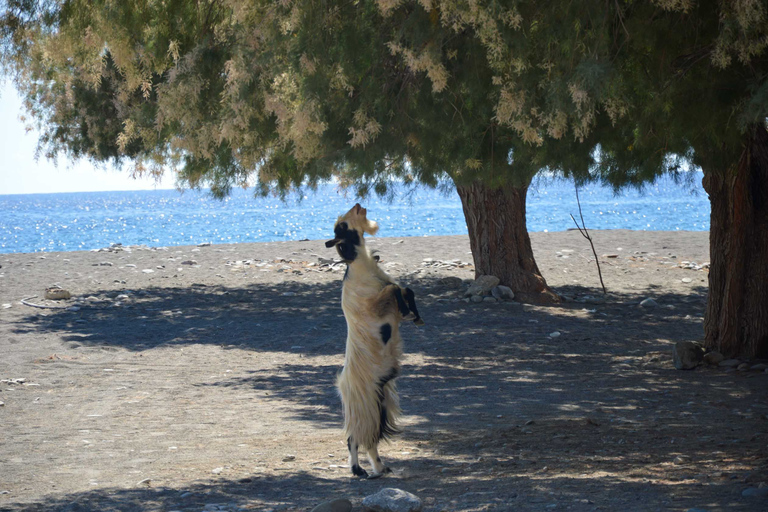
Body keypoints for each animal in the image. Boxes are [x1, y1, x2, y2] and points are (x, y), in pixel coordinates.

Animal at [322, 204, 424, 480]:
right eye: (341, 226)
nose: (358, 205)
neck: (363, 270)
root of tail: (343, 385)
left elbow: (405, 288)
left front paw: (415, 315)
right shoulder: (375, 307)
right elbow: (394, 289)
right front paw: (410, 312)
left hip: (379, 404)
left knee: (370, 440)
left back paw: (380, 468)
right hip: (364, 406)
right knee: (354, 438)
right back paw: (359, 471)